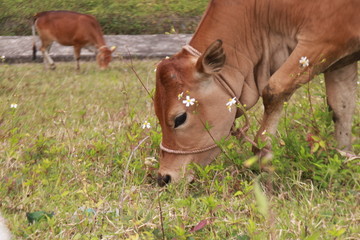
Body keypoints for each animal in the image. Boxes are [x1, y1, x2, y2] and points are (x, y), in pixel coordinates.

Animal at [155, 0, 360, 186]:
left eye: (180, 118)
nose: (164, 177)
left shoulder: (324, 40)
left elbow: (273, 89)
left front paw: (262, 156)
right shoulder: (343, 61)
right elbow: (341, 109)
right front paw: (345, 159)